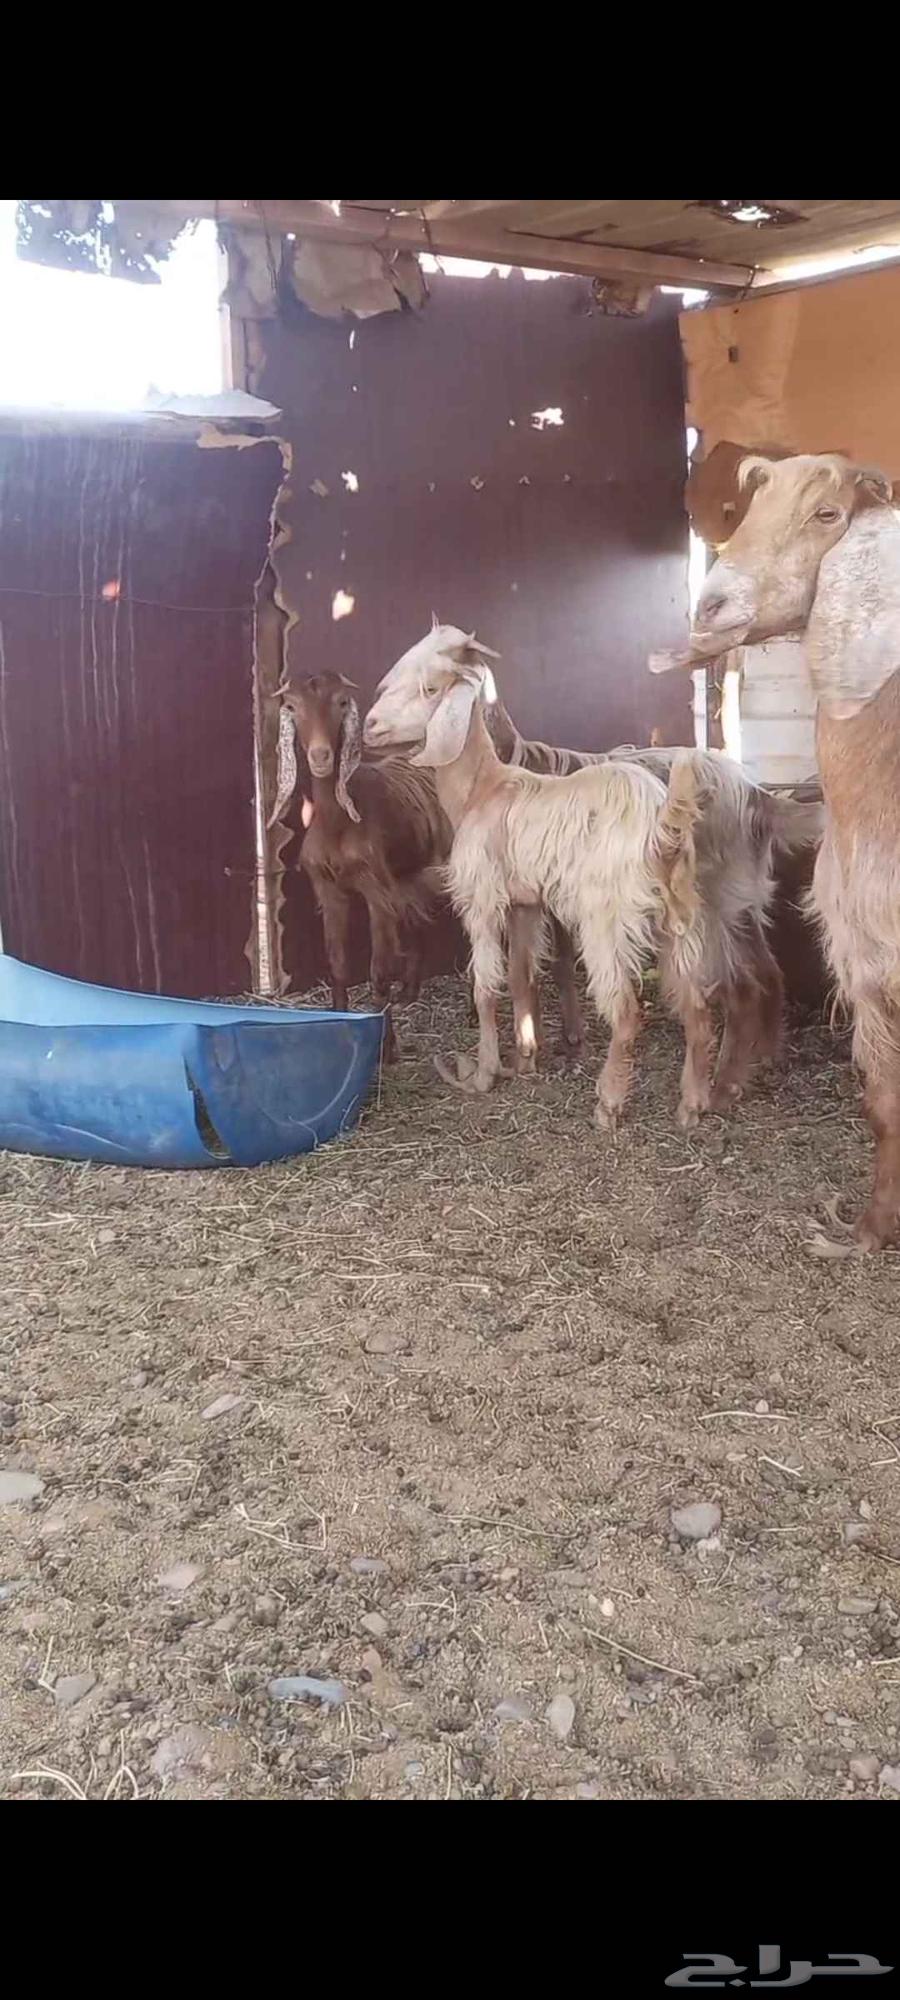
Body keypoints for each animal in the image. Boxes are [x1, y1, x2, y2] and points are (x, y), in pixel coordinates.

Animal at [269, 671, 452, 1056]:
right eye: (292, 706)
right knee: (419, 920)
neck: (338, 822)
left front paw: (387, 1046)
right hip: (411, 873)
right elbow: (337, 964)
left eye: (341, 702)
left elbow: (379, 971)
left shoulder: (377, 891)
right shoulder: (329, 889)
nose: (321, 756)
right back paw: (409, 993)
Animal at [364, 626, 714, 1131]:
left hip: (607, 921)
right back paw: (692, 1105)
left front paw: (485, 1073)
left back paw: (608, 1105)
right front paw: (526, 1058)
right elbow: (520, 976)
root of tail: (661, 828)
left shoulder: (482, 899)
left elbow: (485, 987)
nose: (370, 726)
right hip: (680, 919)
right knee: (698, 1007)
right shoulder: (525, 904)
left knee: (628, 1013)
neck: (482, 788)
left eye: (431, 688)